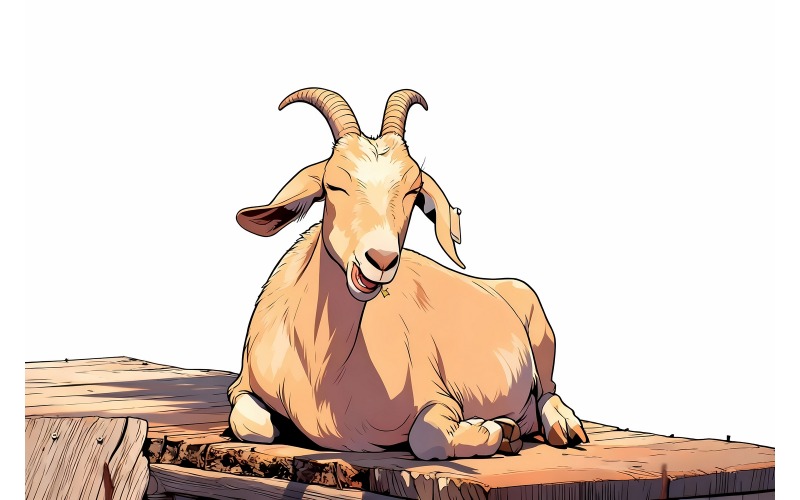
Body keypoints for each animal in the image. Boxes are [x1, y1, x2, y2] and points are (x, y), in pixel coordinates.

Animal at [228, 88, 587, 459]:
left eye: (413, 192)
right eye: (334, 185)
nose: (381, 259)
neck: (323, 372)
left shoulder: (440, 397)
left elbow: (427, 437)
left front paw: (495, 430)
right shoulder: (242, 386)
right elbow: (252, 425)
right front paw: (501, 428)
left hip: (542, 334)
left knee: (549, 392)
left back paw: (563, 427)